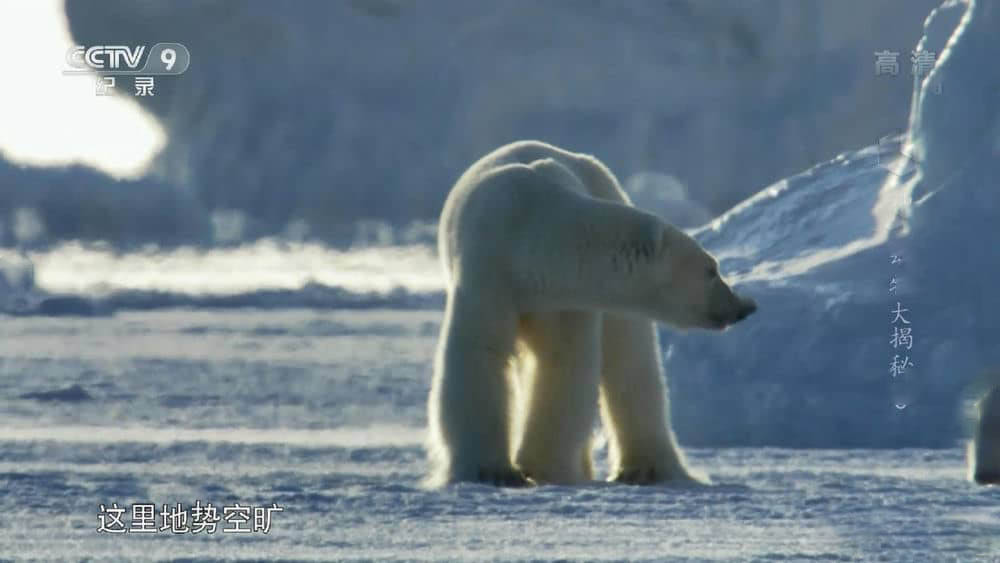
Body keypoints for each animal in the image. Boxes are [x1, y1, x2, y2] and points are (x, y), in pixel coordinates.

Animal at [424, 139, 756, 486]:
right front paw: (493, 471)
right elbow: (480, 353)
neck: (532, 232)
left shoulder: (566, 298)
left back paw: (645, 469)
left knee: (630, 359)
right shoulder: (489, 269)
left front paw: (542, 468)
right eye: (711, 270)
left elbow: (563, 365)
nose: (742, 306)